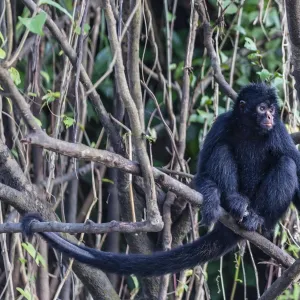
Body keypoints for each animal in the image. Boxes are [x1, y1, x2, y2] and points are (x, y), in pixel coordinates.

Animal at [22, 82, 300, 276]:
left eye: (272, 109)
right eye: (262, 108)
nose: (269, 116)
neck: (251, 130)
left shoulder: (279, 131)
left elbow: (292, 163)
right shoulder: (222, 123)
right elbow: (203, 172)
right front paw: (211, 197)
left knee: (285, 164)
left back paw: (257, 219)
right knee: (223, 149)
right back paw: (233, 202)